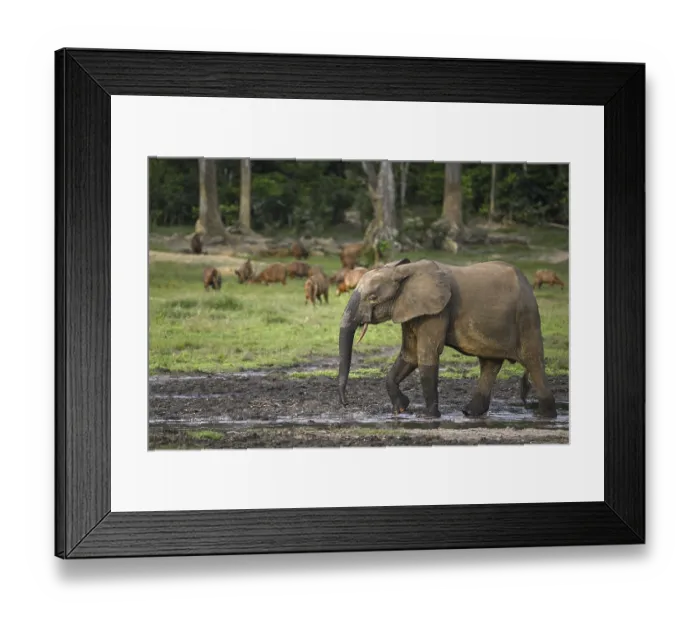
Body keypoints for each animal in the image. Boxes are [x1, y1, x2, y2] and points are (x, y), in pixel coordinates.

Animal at [337, 258, 557, 419]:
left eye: (372, 298)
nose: (345, 403)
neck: (404, 271)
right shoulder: (411, 309)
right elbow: (409, 355)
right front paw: (401, 409)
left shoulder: (437, 311)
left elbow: (426, 356)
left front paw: (430, 417)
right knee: (490, 364)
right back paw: (470, 413)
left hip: (527, 318)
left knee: (533, 361)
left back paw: (546, 416)